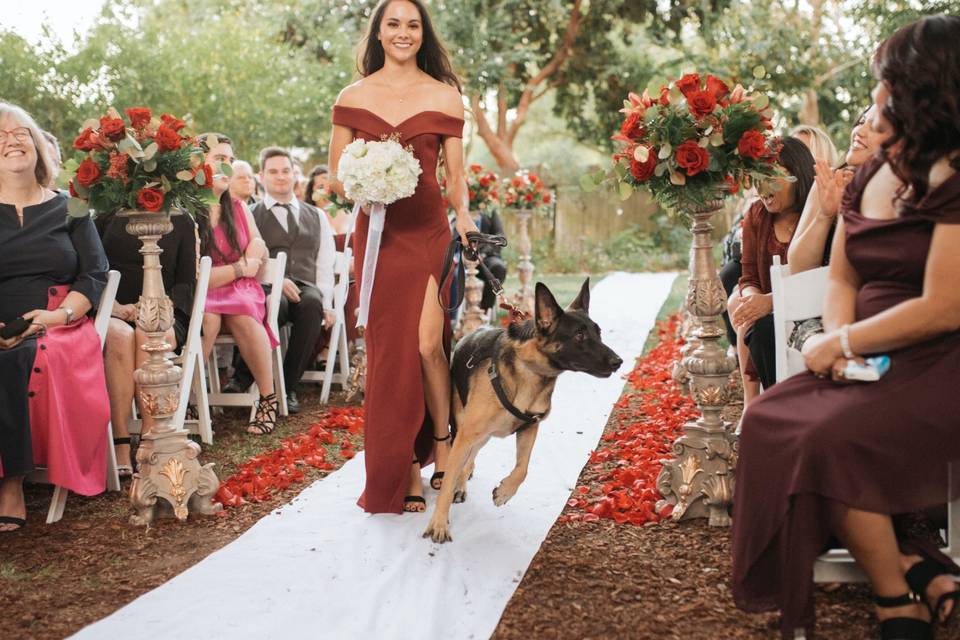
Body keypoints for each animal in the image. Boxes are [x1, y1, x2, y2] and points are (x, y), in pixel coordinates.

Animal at [422, 278, 624, 544]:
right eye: (579, 335)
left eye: (598, 333)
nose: (618, 362)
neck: (530, 369)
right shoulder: (467, 435)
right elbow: (446, 483)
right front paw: (438, 523)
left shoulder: (530, 428)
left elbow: (523, 469)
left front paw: (504, 492)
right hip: (462, 429)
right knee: (459, 461)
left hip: (481, 437)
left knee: (470, 459)